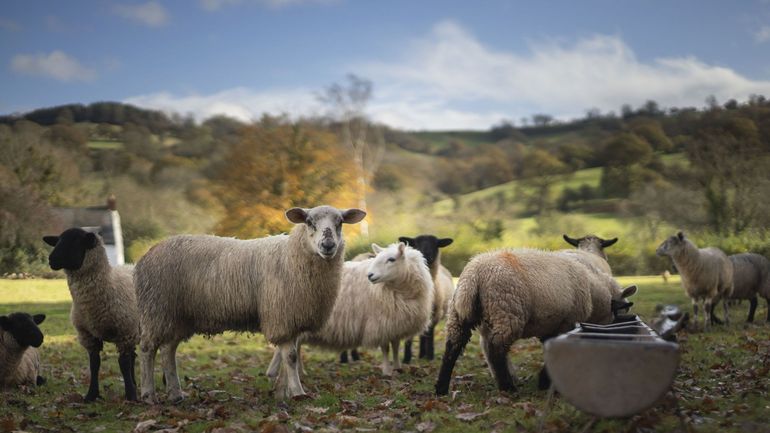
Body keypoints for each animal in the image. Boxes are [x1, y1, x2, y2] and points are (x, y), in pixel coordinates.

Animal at [42, 228, 138, 400]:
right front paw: (91, 395)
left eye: (75, 241)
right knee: (133, 356)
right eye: (58, 240)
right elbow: (94, 364)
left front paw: (131, 395)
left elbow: (123, 364)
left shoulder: (125, 331)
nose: (51, 259)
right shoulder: (88, 334)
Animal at [135, 206, 366, 402]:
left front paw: (282, 391)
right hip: (156, 310)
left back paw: (175, 394)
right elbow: (291, 357)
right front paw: (298, 393)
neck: (292, 256)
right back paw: (148, 395)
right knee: (147, 349)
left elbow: (288, 357)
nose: (328, 245)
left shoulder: (293, 317)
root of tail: (146, 255)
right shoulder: (280, 316)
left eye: (340, 222)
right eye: (309, 222)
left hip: (176, 316)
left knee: (168, 350)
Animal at [266, 241, 432, 376]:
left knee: (296, 346)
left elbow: (396, 347)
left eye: (391, 259)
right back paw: (275, 372)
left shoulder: (396, 323)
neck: (399, 289)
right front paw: (387, 371)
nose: (370, 275)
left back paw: (298, 372)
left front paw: (398, 368)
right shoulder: (379, 323)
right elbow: (386, 348)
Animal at [400, 233, 452, 362]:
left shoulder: (435, 312)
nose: (426, 255)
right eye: (416, 244)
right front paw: (406, 359)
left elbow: (430, 333)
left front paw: (430, 356)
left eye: (436, 244)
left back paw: (423, 354)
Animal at [432, 246, 636, 394]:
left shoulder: (551, 325)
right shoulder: (567, 322)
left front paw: (546, 381)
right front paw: (545, 382)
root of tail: (473, 275)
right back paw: (508, 388)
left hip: (459, 314)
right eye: (620, 311)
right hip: (507, 311)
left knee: (453, 346)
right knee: (496, 349)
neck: (593, 291)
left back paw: (441, 388)